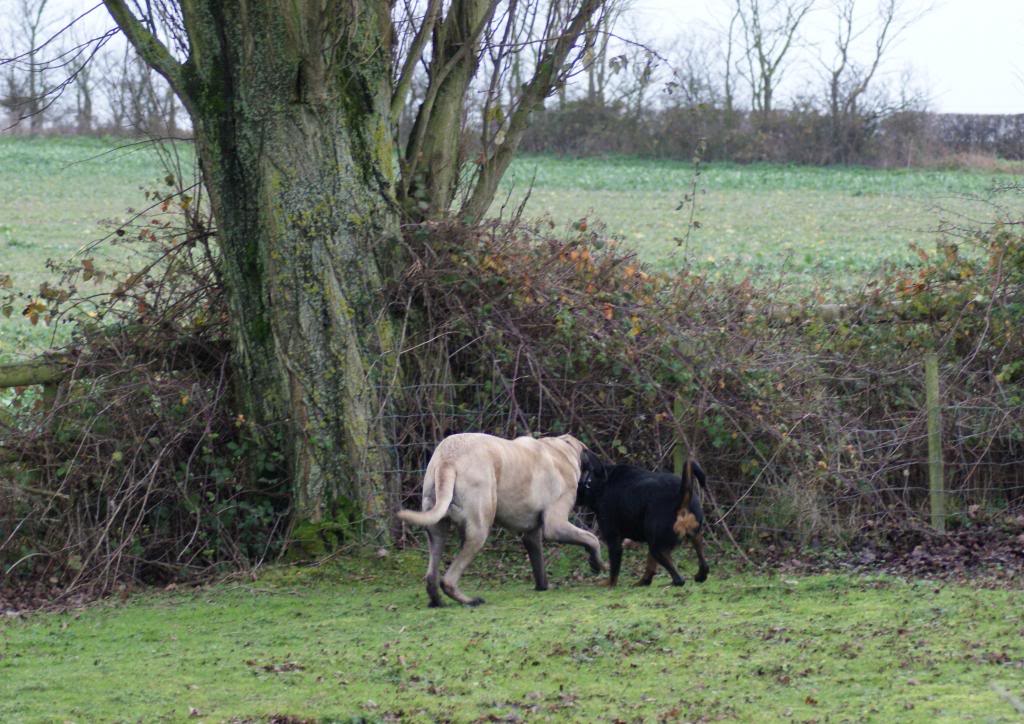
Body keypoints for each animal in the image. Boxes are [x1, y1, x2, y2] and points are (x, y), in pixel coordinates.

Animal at [395, 434, 602, 610]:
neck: (562, 449)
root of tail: (448, 459)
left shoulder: (531, 535)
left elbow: (539, 565)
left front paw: (543, 586)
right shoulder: (555, 525)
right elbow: (592, 538)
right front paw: (597, 563)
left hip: (437, 531)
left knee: (431, 576)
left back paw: (437, 601)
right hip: (478, 531)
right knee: (448, 580)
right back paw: (470, 601)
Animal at [581, 458, 708, 589]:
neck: (593, 482)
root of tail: (682, 497)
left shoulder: (613, 539)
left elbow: (614, 569)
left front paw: (609, 585)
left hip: (657, 547)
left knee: (679, 579)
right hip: (690, 535)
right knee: (703, 564)